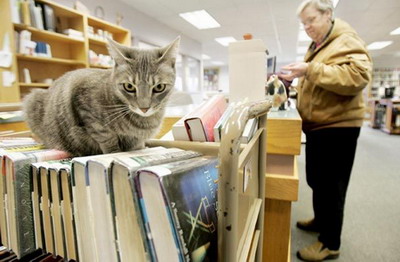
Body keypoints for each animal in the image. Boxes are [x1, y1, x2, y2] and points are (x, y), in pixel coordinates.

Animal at [23, 36, 180, 156]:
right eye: (129, 87)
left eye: (159, 87)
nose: (144, 108)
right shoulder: (88, 111)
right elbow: (107, 139)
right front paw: (113, 153)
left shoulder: (136, 138)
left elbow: (136, 145)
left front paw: (141, 148)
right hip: (32, 100)